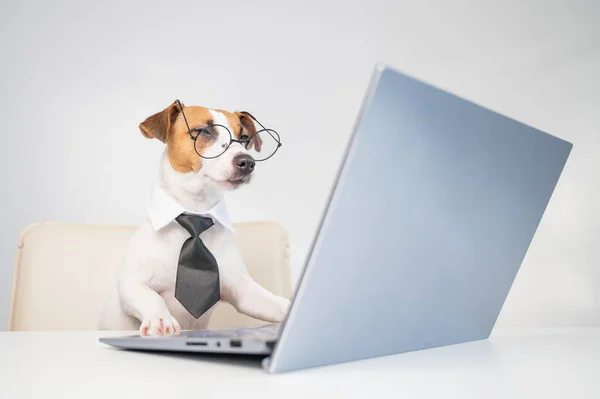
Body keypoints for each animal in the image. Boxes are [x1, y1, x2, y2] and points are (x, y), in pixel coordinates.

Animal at [99, 101, 292, 338]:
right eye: (203, 131)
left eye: (244, 137)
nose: (247, 162)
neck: (195, 211)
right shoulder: (131, 284)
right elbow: (151, 297)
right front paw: (160, 318)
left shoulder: (243, 291)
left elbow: (274, 303)